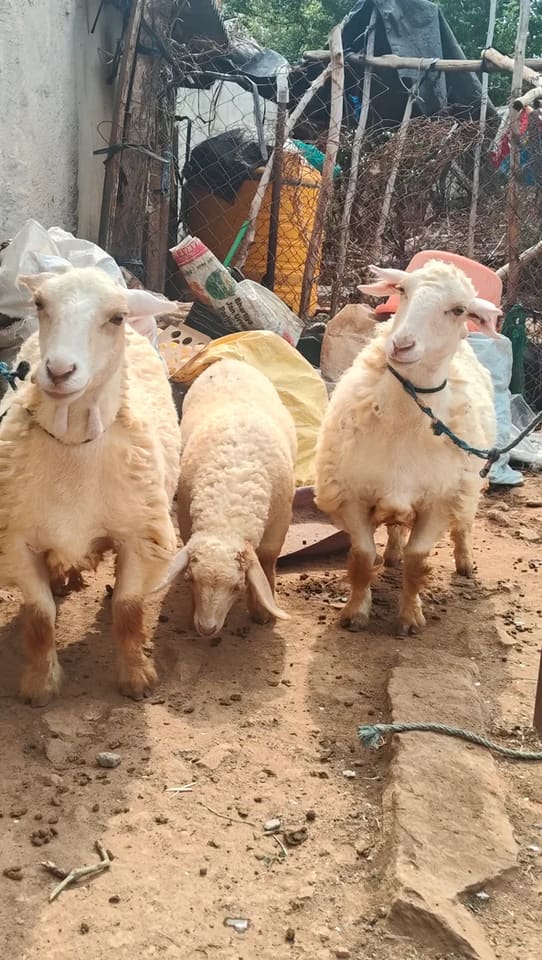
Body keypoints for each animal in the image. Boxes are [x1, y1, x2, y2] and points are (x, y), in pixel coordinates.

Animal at [0, 267, 180, 704]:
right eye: (40, 305)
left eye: (115, 317)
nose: (58, 371)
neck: (72, 448)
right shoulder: (16, 542)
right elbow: (40, 617)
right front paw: (40, 684)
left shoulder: (139, 536)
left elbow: (128, 611)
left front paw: (137, 676)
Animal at [157, 358, 297, 637]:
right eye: (191, 579)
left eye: (236, 587)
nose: (206, 628)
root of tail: (228, 360)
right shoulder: (186, 520)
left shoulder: (279, 524)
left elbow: (267, 561)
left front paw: (263, 609)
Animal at [315, 259, 501, 635]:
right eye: (403, 290)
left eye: (458, 310)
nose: (401, 345)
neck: (403, 421)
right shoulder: (352, 494)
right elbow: (362, 558)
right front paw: (355, 613)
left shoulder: (438, 503)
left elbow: (417, 562)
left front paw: (410, 618)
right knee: (395, 528)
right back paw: (392, 554)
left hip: (468, 484)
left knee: (464, 524)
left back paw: (465, 562)